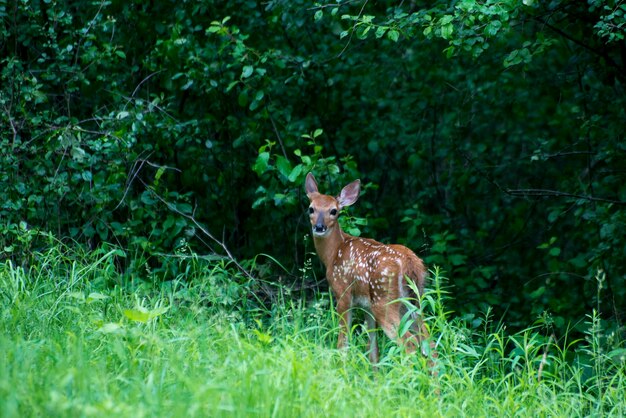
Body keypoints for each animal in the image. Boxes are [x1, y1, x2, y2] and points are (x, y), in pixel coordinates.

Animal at [304, 171, 432, 364]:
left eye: (334, 211)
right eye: (311, 208)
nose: (319, 227)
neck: (333, 253)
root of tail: (410, 263)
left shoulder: (343, 292)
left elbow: (343, 342)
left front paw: (341, 365)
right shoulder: (366, 306)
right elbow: (373, 350)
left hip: (384, 299)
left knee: (410, 343)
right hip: (414, 298)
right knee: (427, 341)